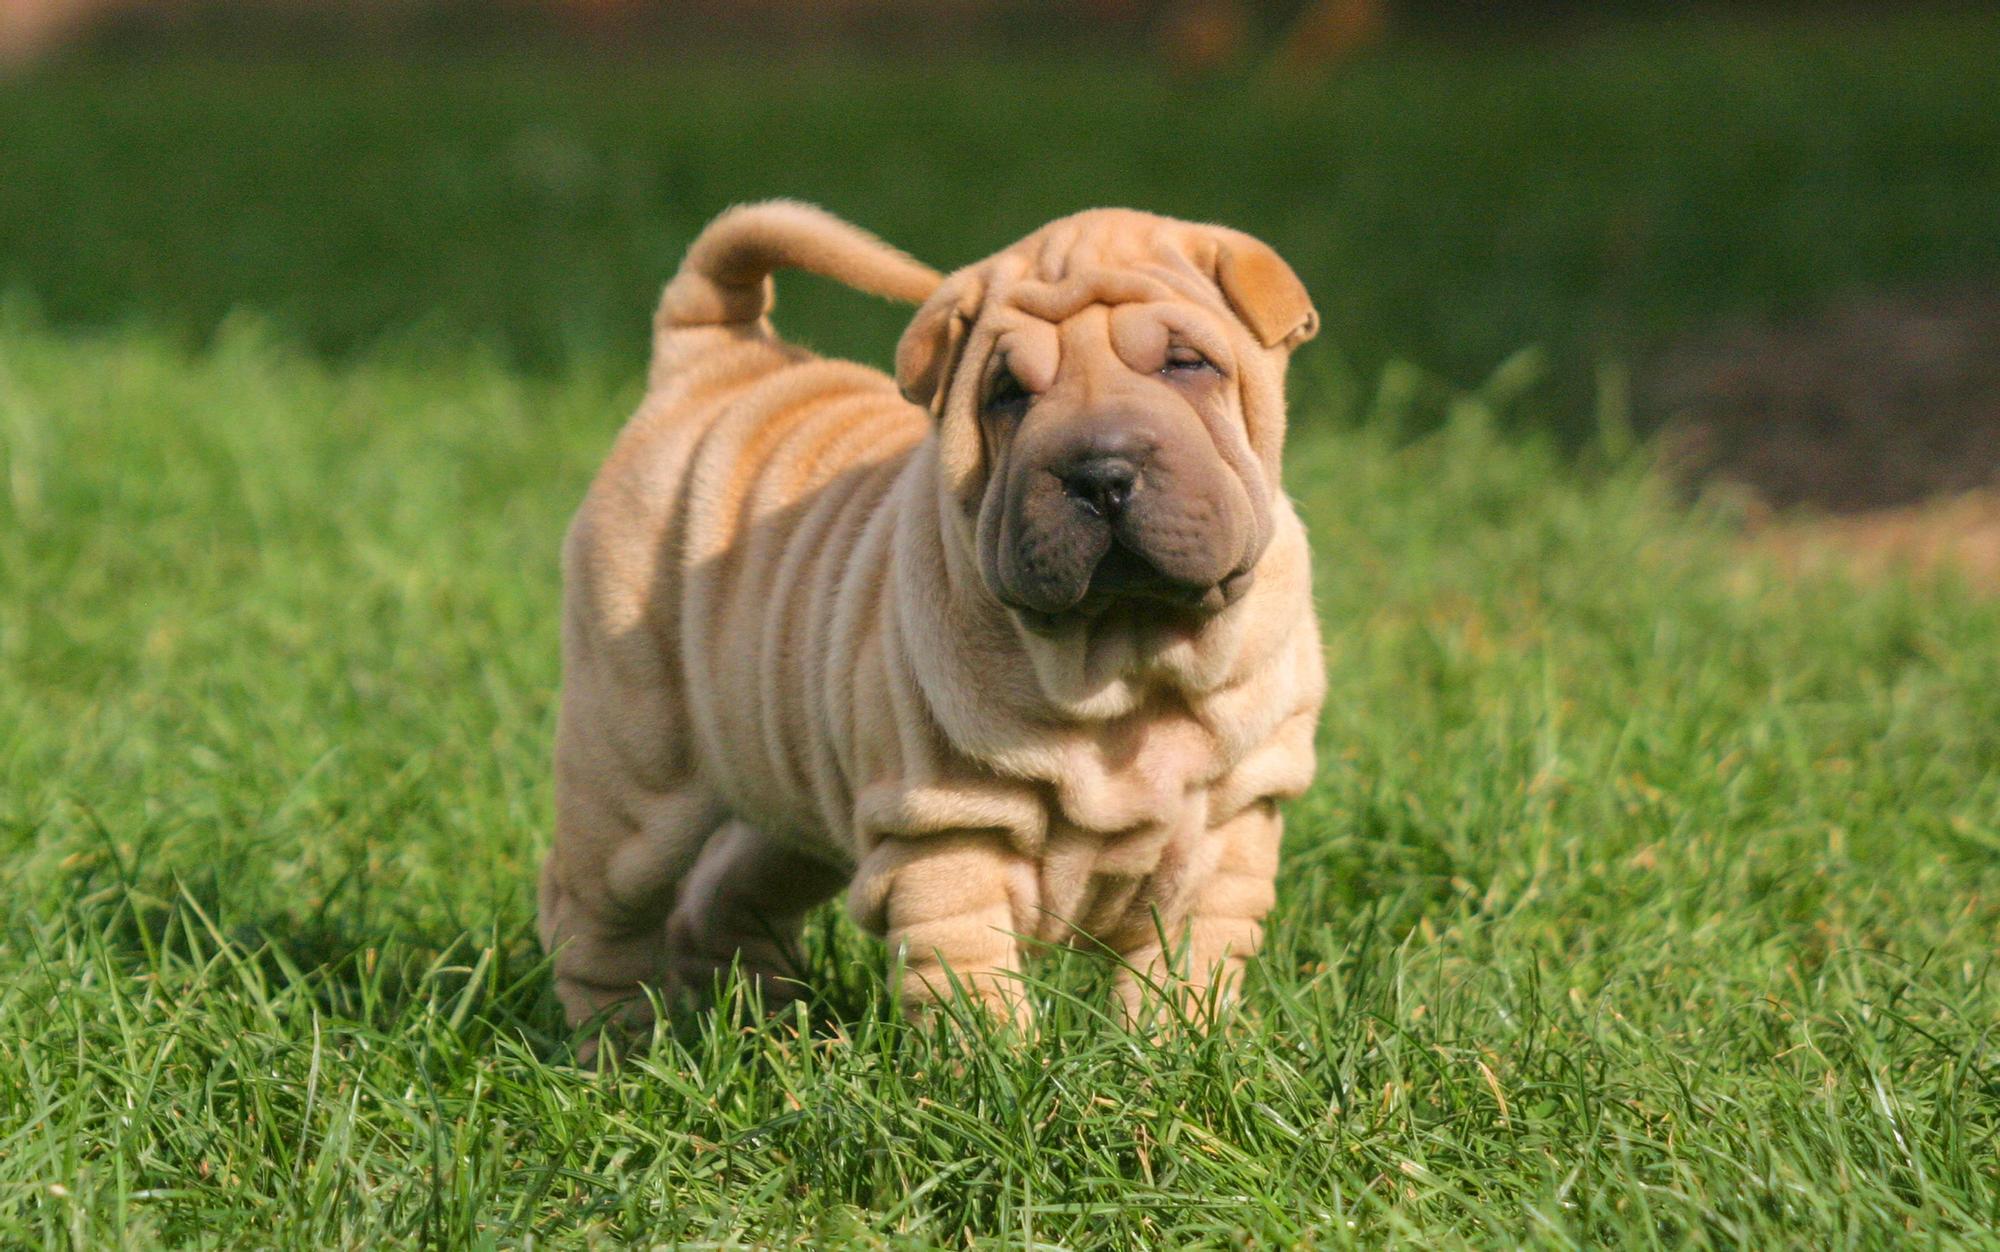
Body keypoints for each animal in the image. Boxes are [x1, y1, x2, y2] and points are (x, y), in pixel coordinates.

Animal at [536, 200, 1328, 1032]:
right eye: (1007, 393)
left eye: (1186, 365)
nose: (1100, 472)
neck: (1124, 656)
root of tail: (710, 361)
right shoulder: (949, 834)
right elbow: (970, 983)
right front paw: (999, 1063)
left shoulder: (1230, 830)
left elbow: (1182, 972)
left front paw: (1169, 1050)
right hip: (632, 778)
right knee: (594, 913)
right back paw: (619, 1039)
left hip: (788, 786)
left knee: (729, 893)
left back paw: (768, 1026)